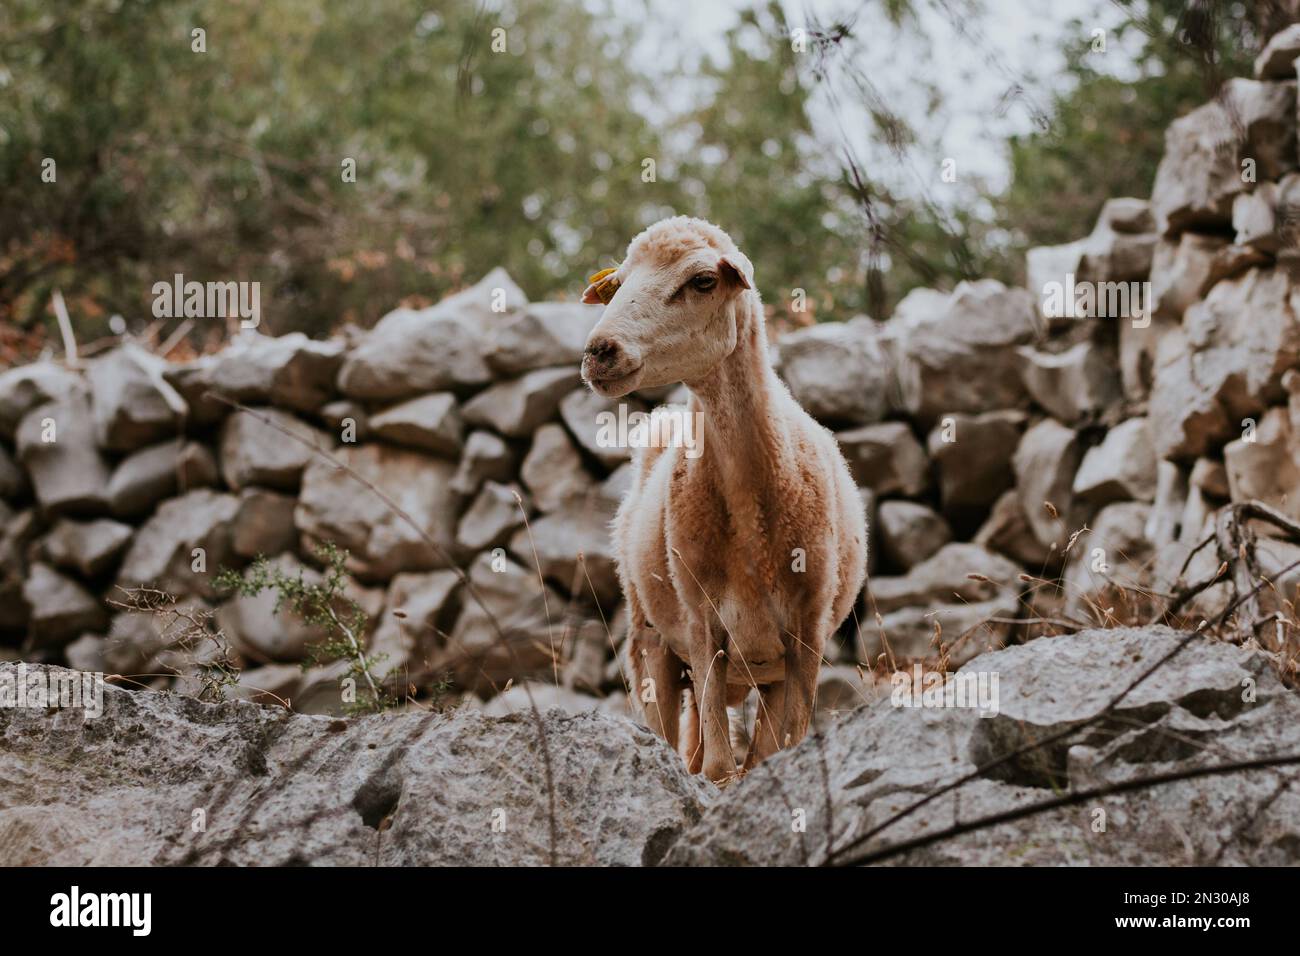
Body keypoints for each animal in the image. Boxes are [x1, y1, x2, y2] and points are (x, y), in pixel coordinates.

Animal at [577, 217, 863, 785]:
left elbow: (781, 749)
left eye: (703, 281)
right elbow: (714, 766)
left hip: (765, 668)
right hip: (651, 638)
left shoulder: (808, 633)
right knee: (672, 738)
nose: (599, 351)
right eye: (617, 284)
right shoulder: (703, 625)